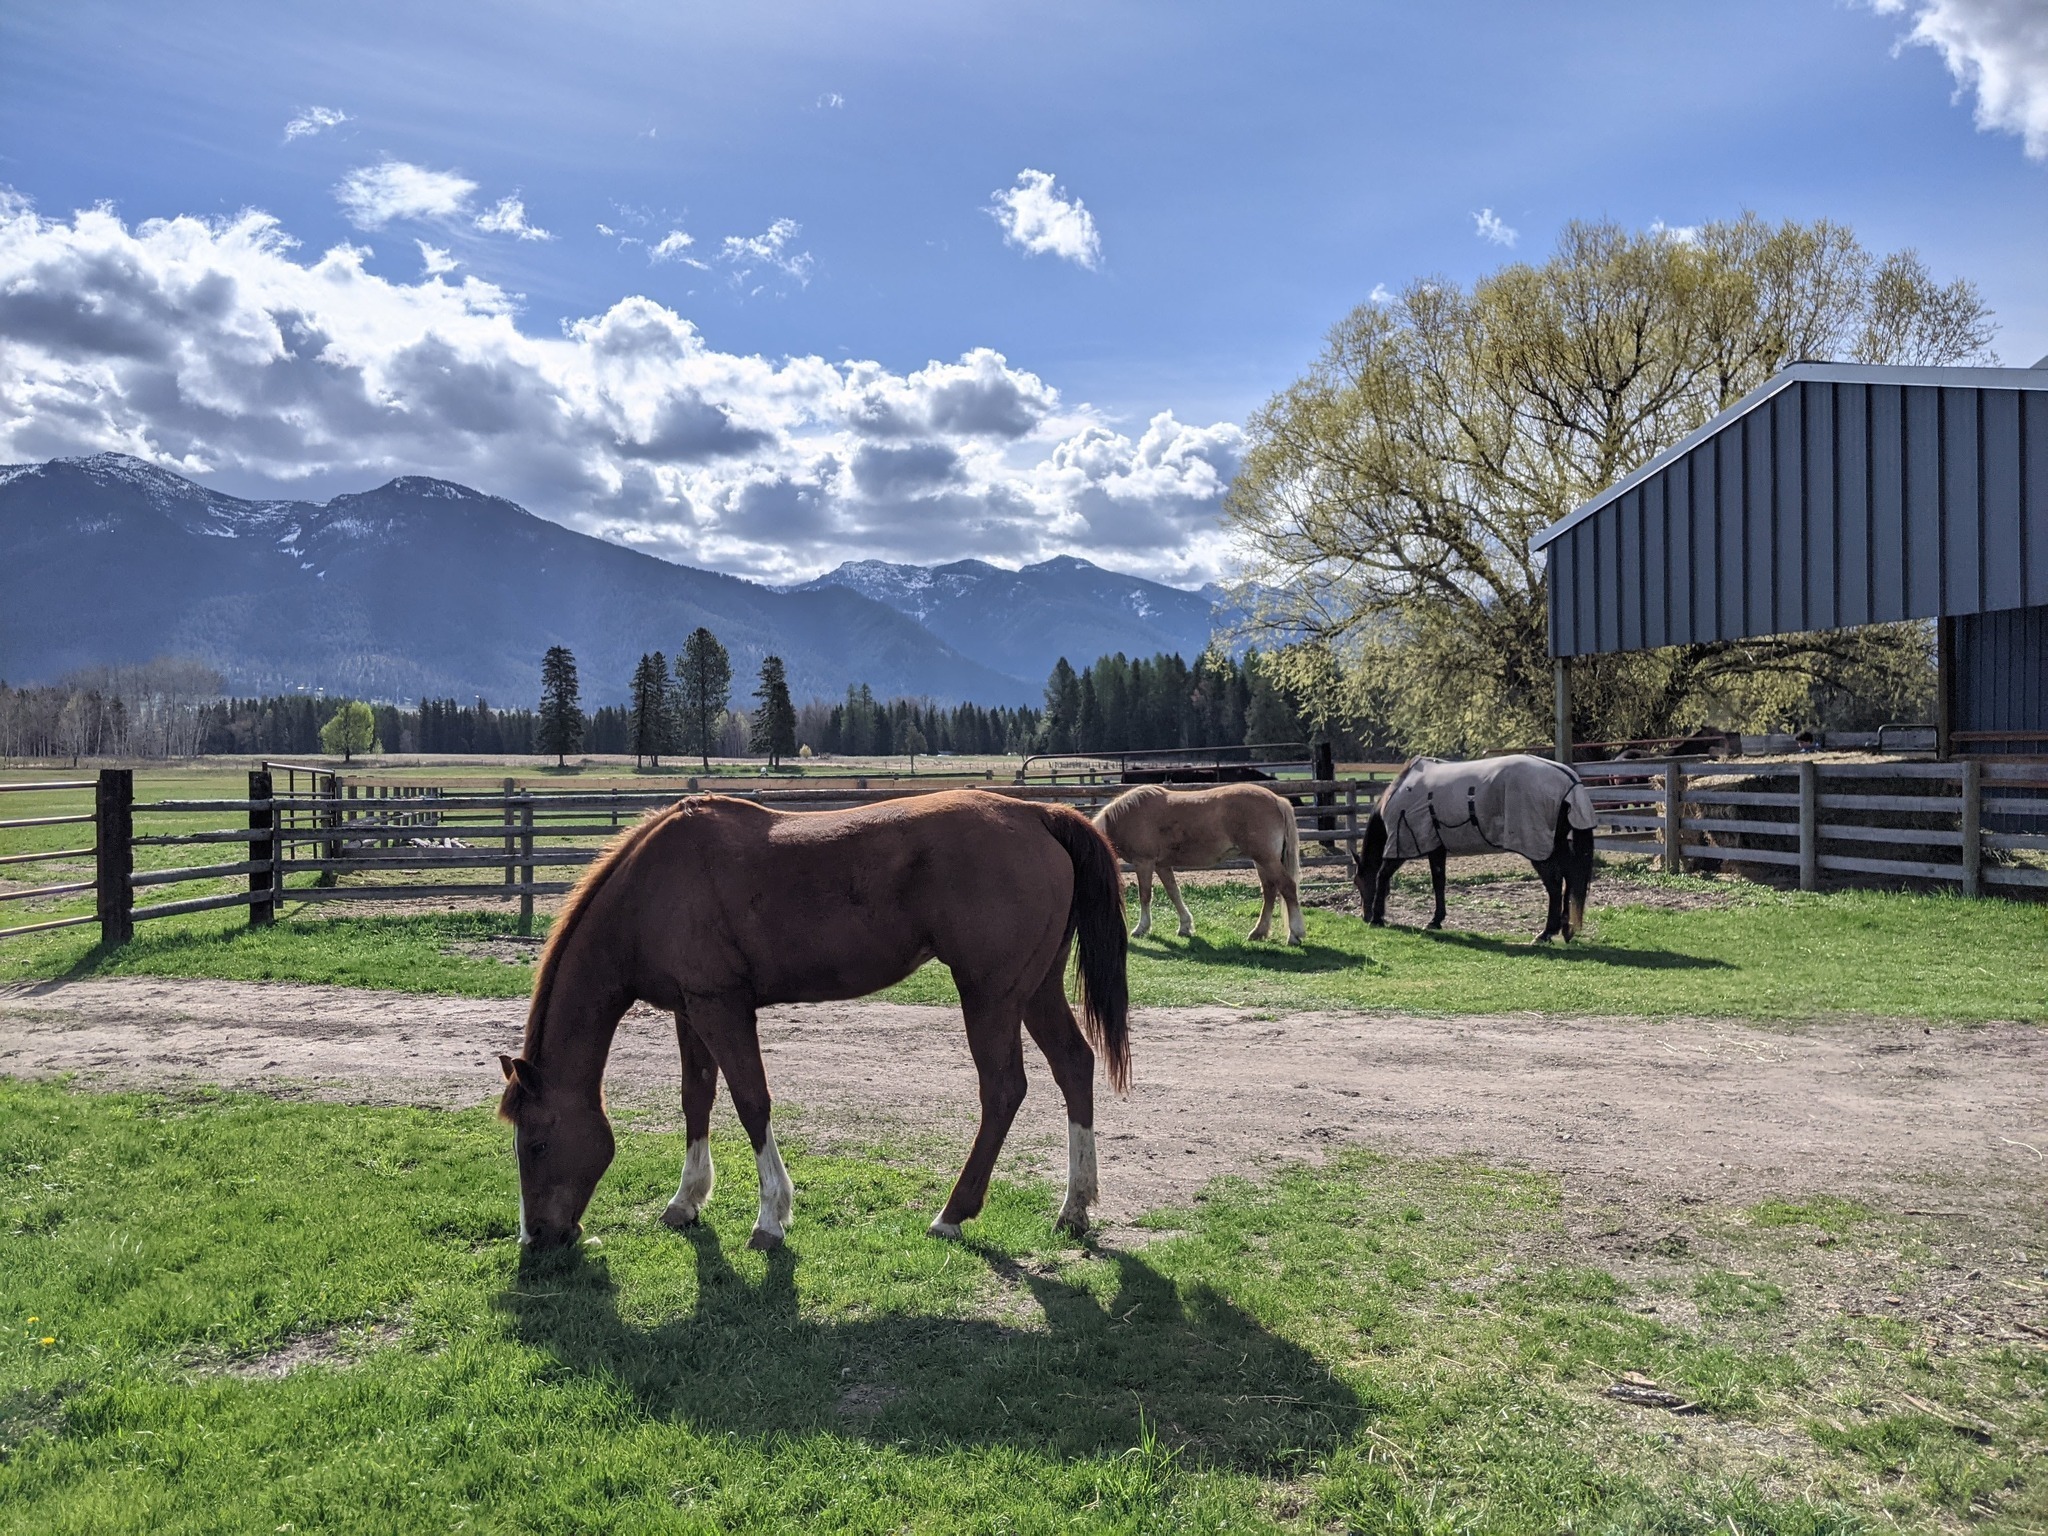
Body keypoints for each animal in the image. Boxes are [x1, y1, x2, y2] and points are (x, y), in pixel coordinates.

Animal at [501, 794, 1130, 1253]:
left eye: (535, 1143)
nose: (538, 1239)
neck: (651, 890)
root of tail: (1037, 814)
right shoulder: (690, 1009)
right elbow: (695, 1099)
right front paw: (686, 1201)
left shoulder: (721, 1008)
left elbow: (751, 1101)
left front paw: (771, 1218)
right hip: (1035, 989)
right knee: (1074, 1066)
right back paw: (1074, 1208)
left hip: (990, 996)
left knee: (1003, 1090)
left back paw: (952, 1214)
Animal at [1097, 786, 1302, 946]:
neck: (1126, 817)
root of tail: (1277, 800)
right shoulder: (1162, 865)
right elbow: (1174, 893)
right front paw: (1185, 926)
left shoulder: (1144, 862)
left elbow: (1145, 895)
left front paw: (1141, 928)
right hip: (1261, 861)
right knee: (1269, 891)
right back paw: (1258, 932)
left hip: (1266, 859)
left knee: (1287, 888)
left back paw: (1294, 935)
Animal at [1359, 753, 1597, 946]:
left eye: (1359, 884)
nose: (1364, 916)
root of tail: (1568, 780)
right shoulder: (1436, 849)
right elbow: (1438, 883)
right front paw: (1436, 920)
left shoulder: (1402, 844)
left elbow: (1382, 876)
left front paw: (1377, 917)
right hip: (1555, 845)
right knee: (1569, 878)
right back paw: (1566, 930)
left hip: (1539, 849)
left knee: (1554, 885)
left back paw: (1546, 933)